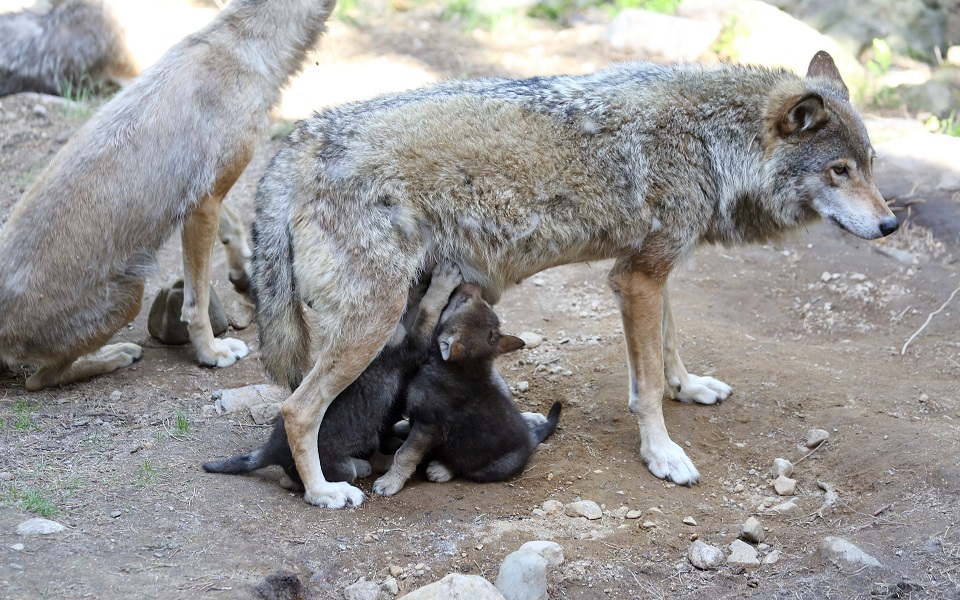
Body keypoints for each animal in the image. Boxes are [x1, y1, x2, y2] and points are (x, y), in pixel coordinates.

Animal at [201, 262, 464, 492]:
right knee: (299, 480)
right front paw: (442, 283)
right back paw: (360, 467)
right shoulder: (407, 349)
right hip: (336, 466)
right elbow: (428, 311)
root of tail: (270, 450)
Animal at [370, 282, 564, 496]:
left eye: (460, 302)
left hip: (486, 466)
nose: (472, 284)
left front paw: (389, 482)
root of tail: (530, 440)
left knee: (464, 465)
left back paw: (441, 469)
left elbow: (404, 454)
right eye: (466, 300)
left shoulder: (428, 426)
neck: (459, 369)